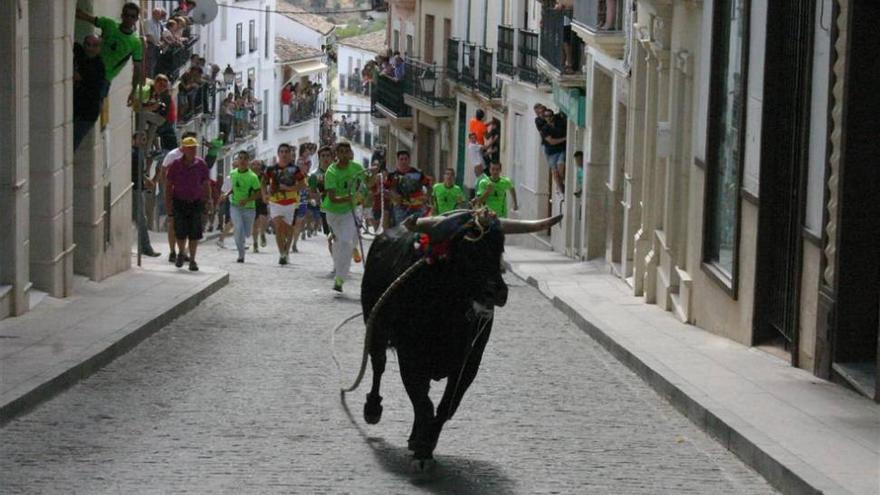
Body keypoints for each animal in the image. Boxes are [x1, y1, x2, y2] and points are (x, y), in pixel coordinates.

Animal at [360, 211, 560, 464]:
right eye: (467, 250)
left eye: (501, 247)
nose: (497, 292)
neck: (446, 309)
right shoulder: (410, 356)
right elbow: (423, 402)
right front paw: (422, 444)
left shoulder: (470, 361)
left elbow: (446, 407)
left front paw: (426, 442)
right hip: (375, 329)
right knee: (379, 366)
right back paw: (373, 409)